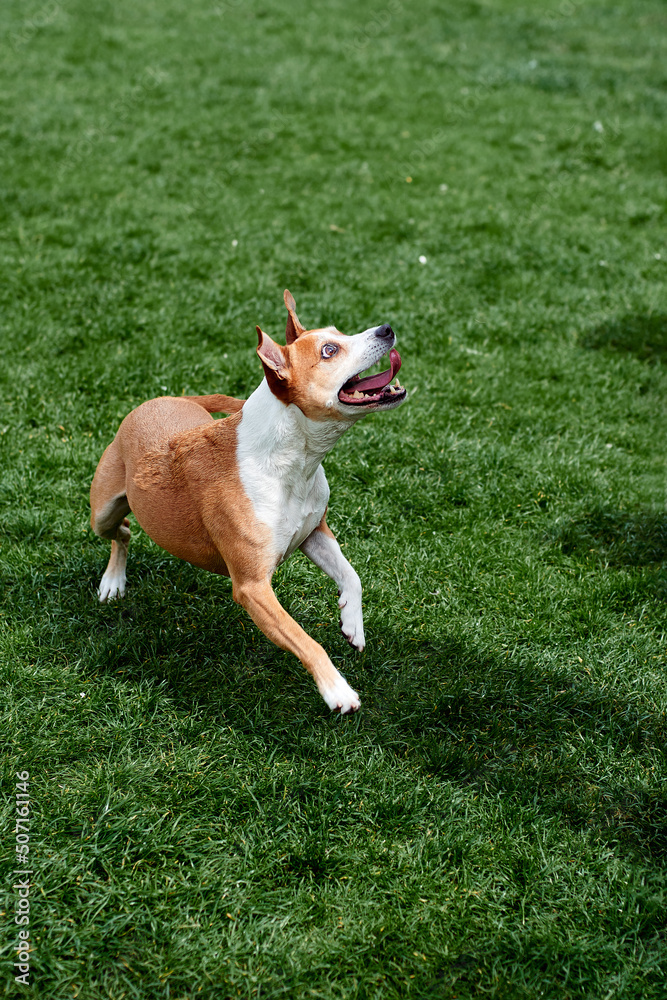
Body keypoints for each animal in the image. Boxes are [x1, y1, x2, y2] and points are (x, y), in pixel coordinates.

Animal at [90, 290, 408, 712]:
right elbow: (305, 640)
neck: (291, 461)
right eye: (329, 351)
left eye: (338, 332)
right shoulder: (253, 587)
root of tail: (160, 398)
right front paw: (337, 690)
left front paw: (352, 625)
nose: (386, 328)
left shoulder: (314, 533)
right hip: (102, 512)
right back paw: (113, 581)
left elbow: (351, 575)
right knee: (122, 531)